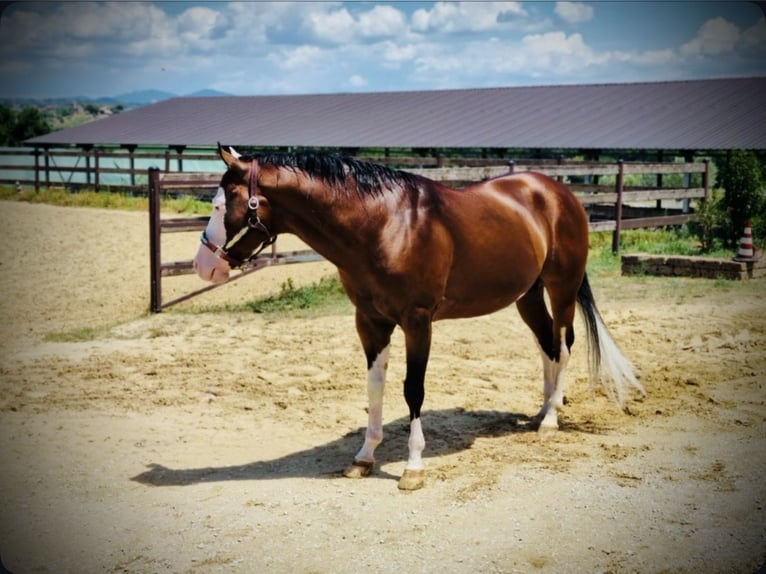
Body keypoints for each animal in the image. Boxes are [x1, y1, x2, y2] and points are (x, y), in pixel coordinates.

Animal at [193, 144, 645, 490]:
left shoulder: (418, 320)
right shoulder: (370, 321)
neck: (384, 224)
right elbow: (374, 389)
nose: (203, 266)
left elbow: (413, 390)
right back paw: (542, 408)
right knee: (547, 345)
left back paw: (550, 419)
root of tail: (557, 192)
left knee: (563, 346)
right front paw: (364, 457)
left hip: (561, 287)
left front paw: (412, 468)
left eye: (221, 205)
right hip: (527, 295)